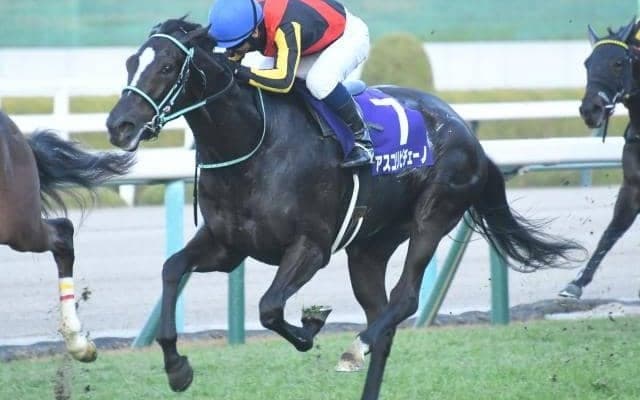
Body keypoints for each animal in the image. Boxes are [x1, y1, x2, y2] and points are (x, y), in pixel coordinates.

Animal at [106, 18, 582, 400]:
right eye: (130, 63)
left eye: (167, 67)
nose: (118, 126)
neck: (256, 142)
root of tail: (468, 132)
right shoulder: (227, 246)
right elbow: (172, 269)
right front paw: (177, 368)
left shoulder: (310, 247)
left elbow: (269, 307)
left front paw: (311, 326)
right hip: (369, 247)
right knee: (384, 321)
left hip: (432, 216)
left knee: (404, 299)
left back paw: (355, 348)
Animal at [559, 18, 640, 299]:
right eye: (587, 63)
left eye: (618, 63)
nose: (590, 110)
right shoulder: (632, 185)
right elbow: (611, 231)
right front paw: (576, 282)